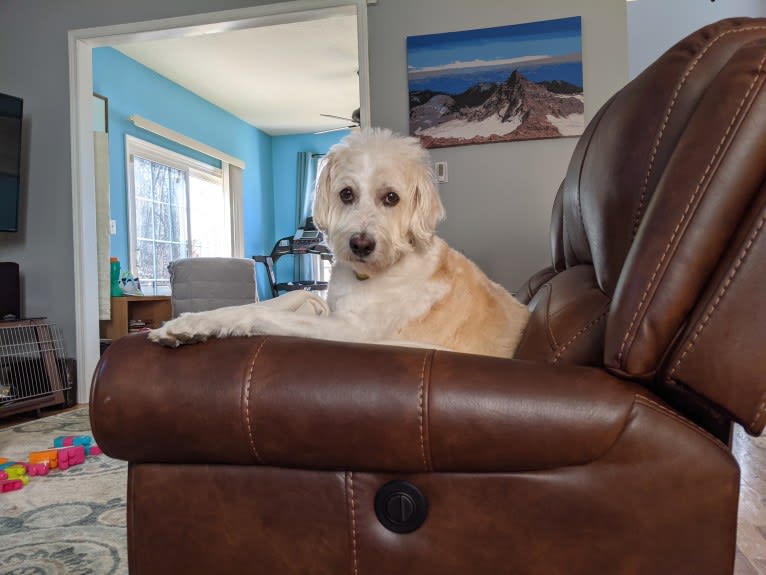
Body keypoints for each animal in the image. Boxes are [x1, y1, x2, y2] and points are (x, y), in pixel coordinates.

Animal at [151, 128, 536, 358]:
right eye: (346, 194)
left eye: (391, 198)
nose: (360, 245)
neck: (373, 274)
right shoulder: (326, 307)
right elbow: (285, 299)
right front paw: (187, 324)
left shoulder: (352, 331)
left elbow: (266, 314)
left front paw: (233, 325)